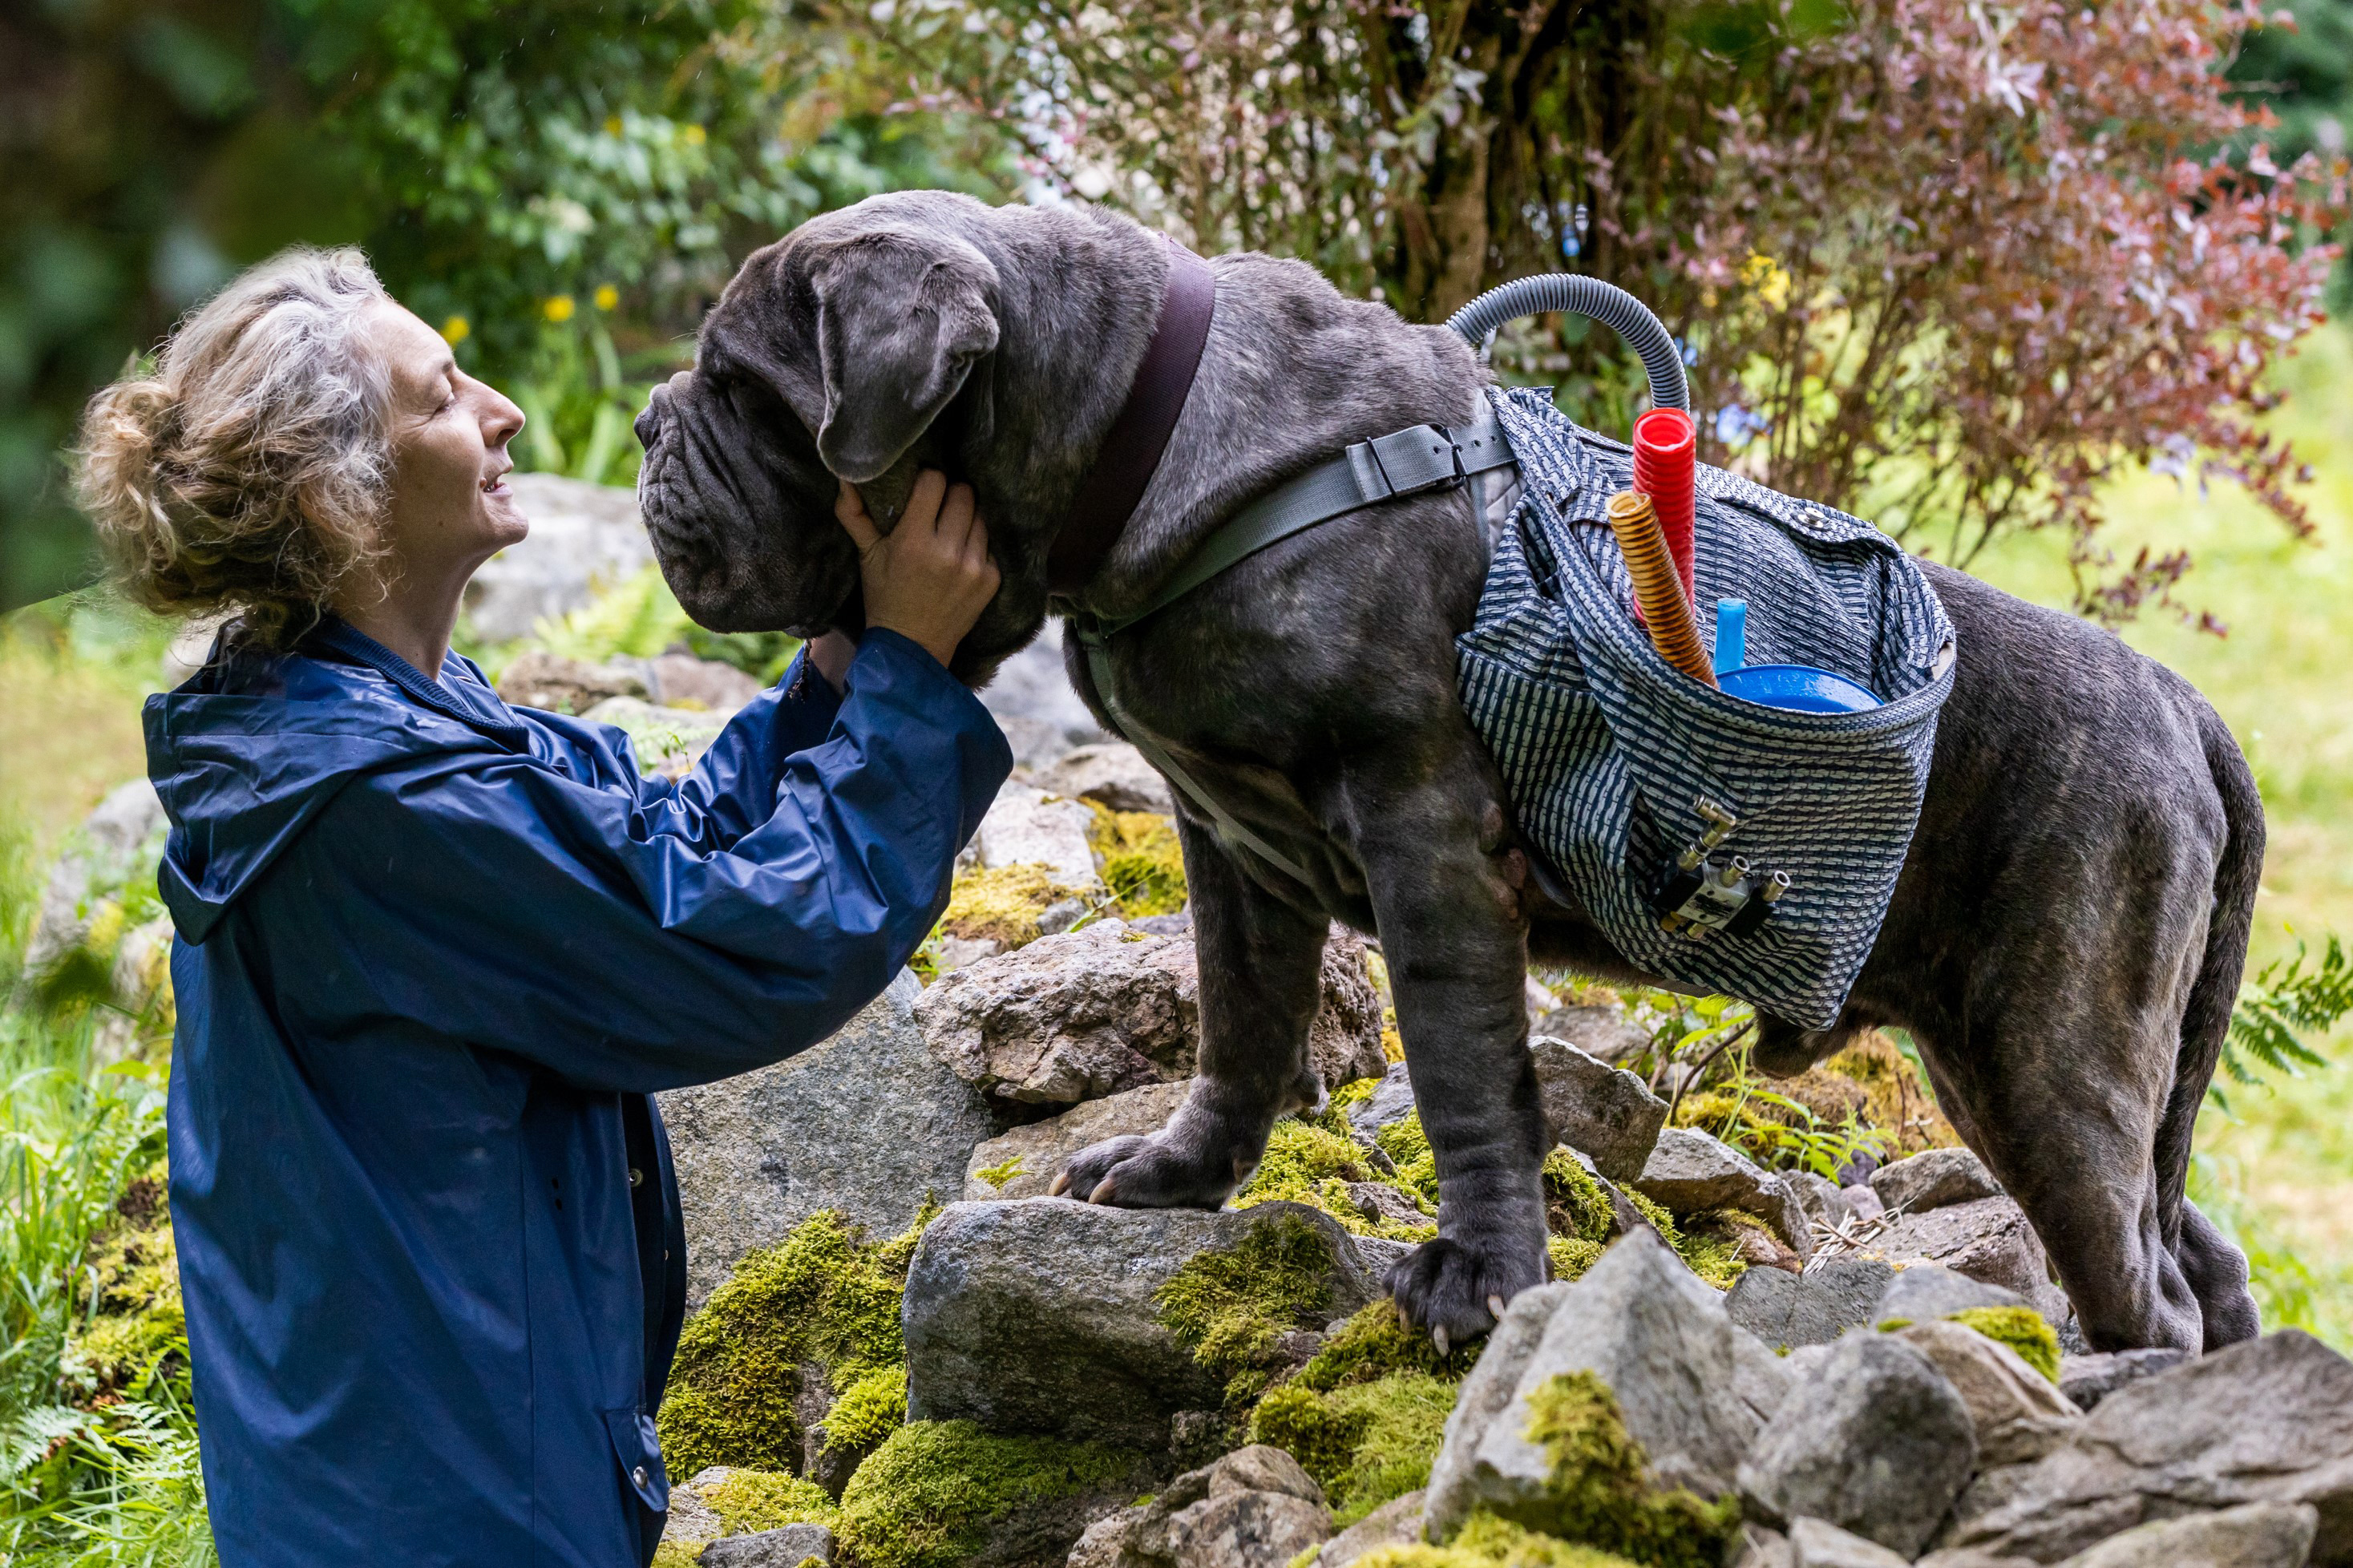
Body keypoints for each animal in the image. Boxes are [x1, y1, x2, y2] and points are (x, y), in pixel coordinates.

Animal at [635, 189, 2268, 1346]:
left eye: (737, 382)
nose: (649, 421)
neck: (1136, 442)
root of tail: (2191, 712)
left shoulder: (1424, 838)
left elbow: (1465, 1073)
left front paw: (1479, 1280)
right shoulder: (1232, 850)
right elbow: (1238, 1027)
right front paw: (1176, 1178)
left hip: (2050, 1055)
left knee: (2142, 1280)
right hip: (2021, 1069)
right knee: (2191, 1246)